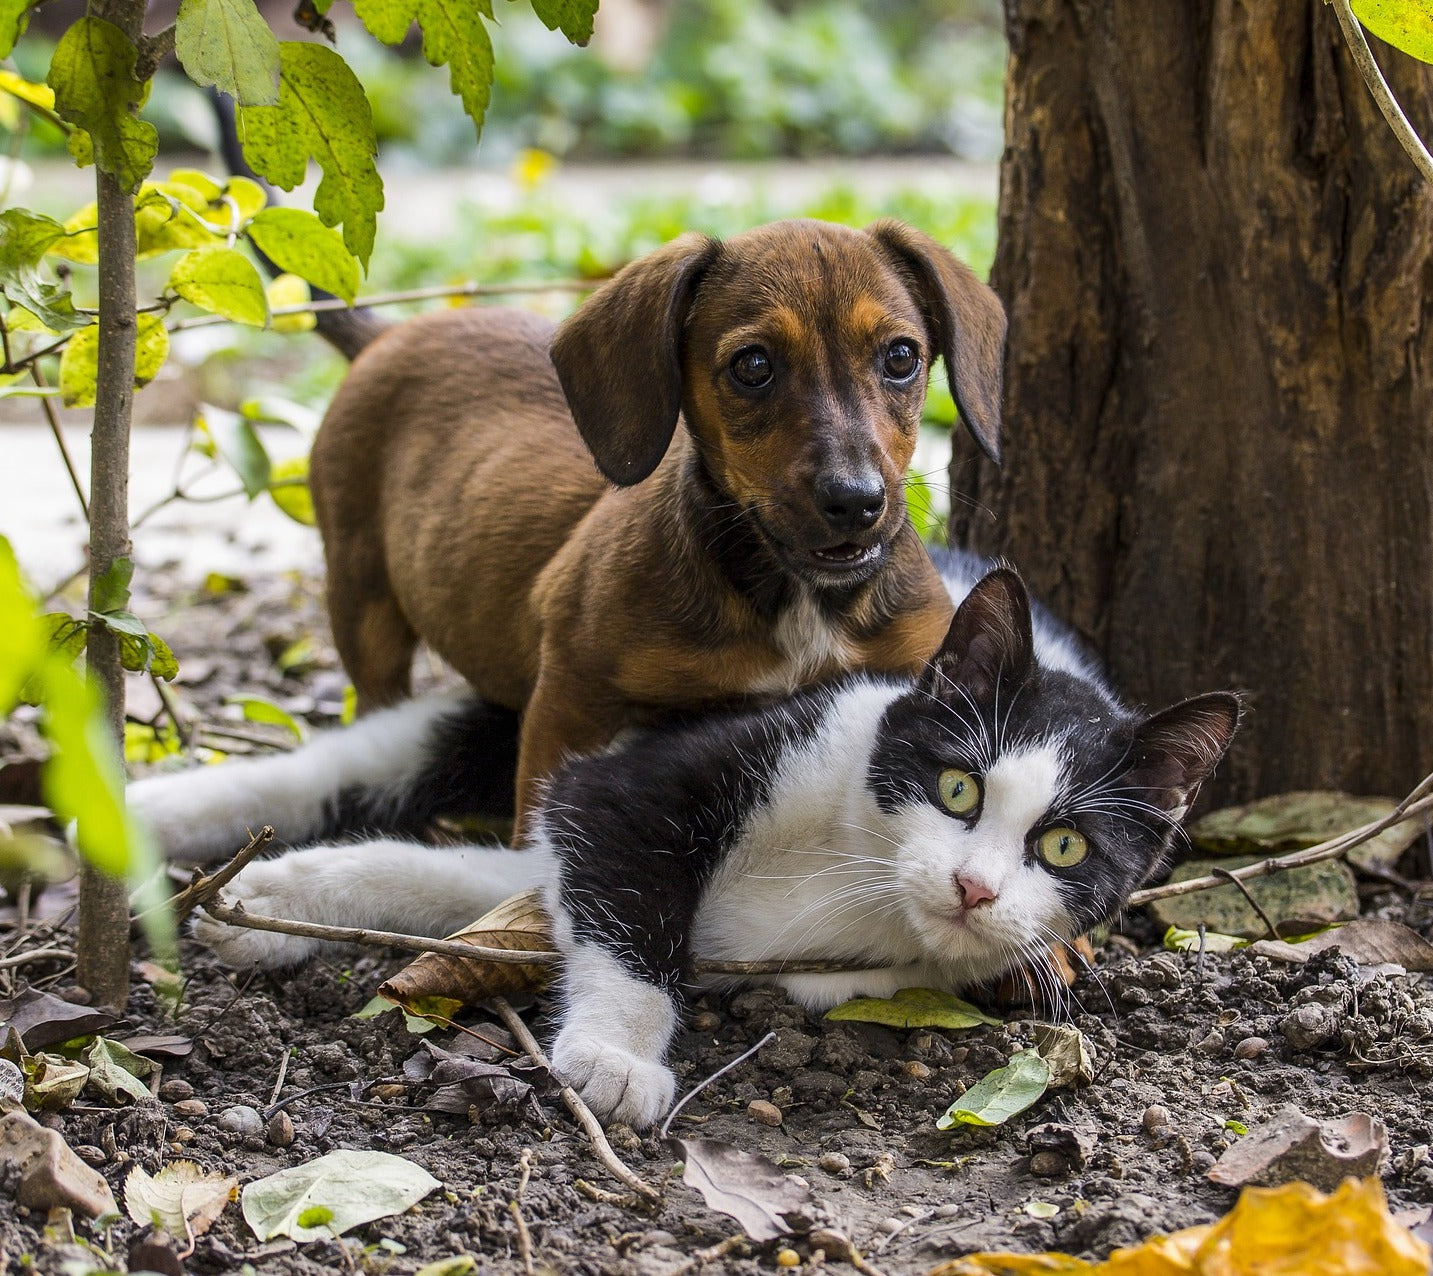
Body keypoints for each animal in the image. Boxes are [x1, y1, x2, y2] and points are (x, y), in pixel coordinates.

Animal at [128, 553, 1238, 1129]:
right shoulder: (645, 777)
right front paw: (616, 1056)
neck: (857, 869)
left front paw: (278, 904)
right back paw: (141, 817)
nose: (972, 888)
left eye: (1064, 850)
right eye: (956, 786)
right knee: (348, 763)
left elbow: (469, 883)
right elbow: (627, 903)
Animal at [308, 213, 1003, 820]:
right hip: (362, 600)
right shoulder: (571, 698)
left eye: (901, 357)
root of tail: (388, 335)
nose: (856, 501)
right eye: (753, 366)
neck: (795, 599)